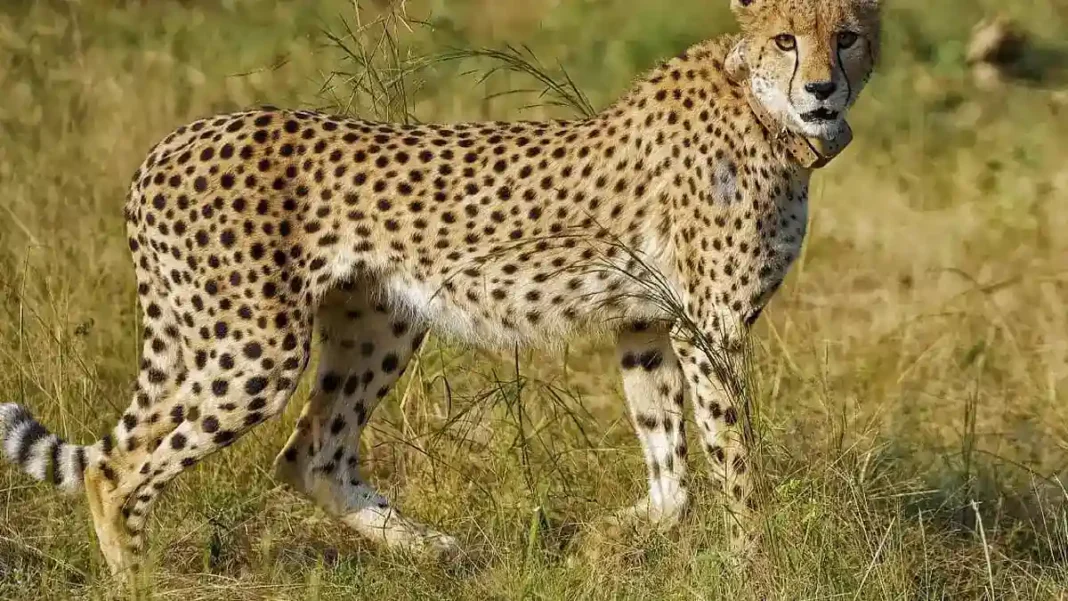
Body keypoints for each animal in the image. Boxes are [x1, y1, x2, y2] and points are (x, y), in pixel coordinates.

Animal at [0, 0, 881, 577]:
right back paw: (138, 579)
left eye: (846, 38)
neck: (767, 115)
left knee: (310, 453)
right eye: (784, 38)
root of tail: (173, 141)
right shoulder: (710, 328)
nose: (822, 89)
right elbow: (735, 463)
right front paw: (756, 566)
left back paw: (434, 548)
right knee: (120, 470)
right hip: (256, 347)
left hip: (377, 322)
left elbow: (673, 473)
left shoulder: (645, 323)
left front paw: (603, 541)